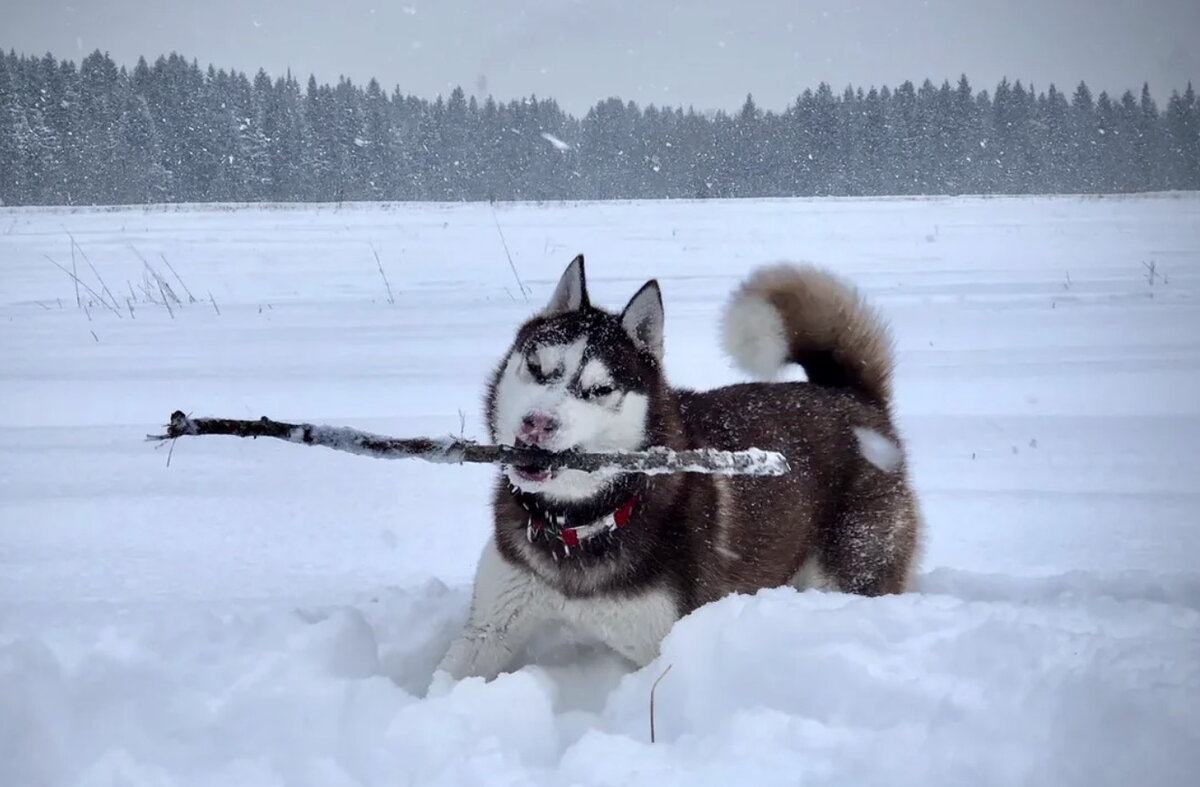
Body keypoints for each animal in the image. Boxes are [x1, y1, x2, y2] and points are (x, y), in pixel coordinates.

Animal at [436, 255, 921, 681]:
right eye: (537, 367)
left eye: (600, 389)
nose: (536, 422)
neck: (579, 524)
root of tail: (854, 398)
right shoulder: (490, 626)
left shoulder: (664, 642)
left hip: (852, 568)